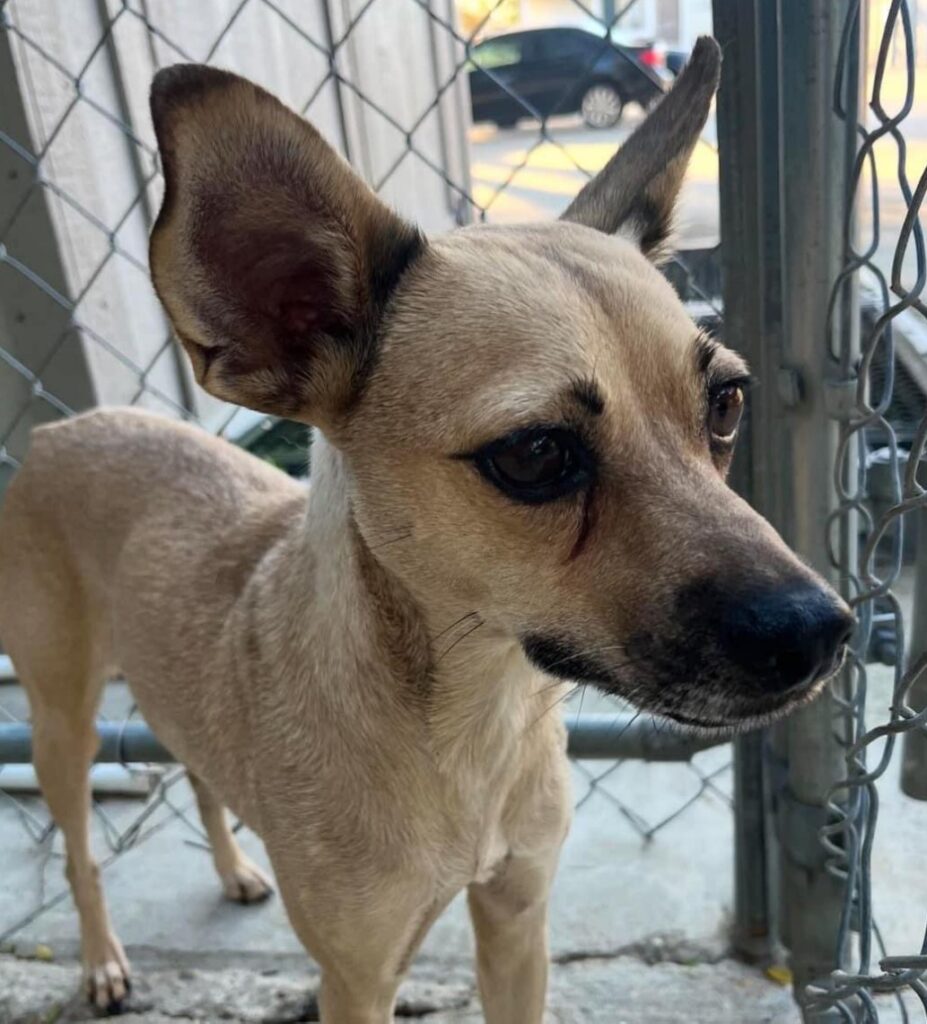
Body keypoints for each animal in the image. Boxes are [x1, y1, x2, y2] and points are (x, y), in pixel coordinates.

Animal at [0, 36, 852, 1019]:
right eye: (533, 453)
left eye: (726, 404)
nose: (821, 632)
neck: (476, 720)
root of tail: (62, 429)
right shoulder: (357, 977)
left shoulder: (519, 921)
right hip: (62, 725)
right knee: (79, 850)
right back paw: (103, 958)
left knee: (202, 777)